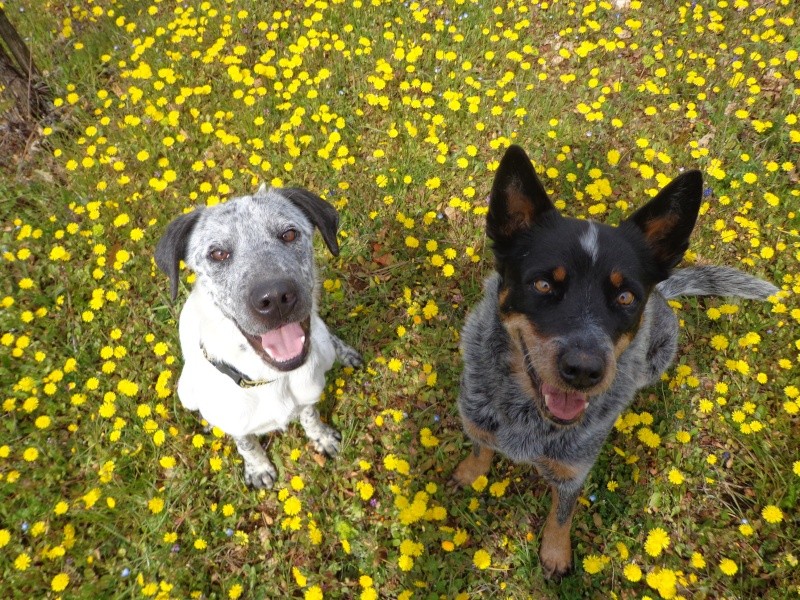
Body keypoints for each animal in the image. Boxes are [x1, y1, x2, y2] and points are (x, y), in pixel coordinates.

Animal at [156, 186, 362, 488]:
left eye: (289, 234)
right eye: (218, 253)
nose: (275, 298)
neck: (269, 378)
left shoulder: (308, 395)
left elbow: (310, 415)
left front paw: (321, 437)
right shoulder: (237, 425)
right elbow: (246, 443)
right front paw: (258, 468)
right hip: (186, 392)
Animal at [454, 144, 780, 576]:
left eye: (625, 296)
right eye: (543, 284)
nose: (584, 370)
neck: (528, 418)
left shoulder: (573, 474)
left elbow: (562, 515)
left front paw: (555, 553)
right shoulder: (478, 421)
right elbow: (480, 448)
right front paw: (471, 474)